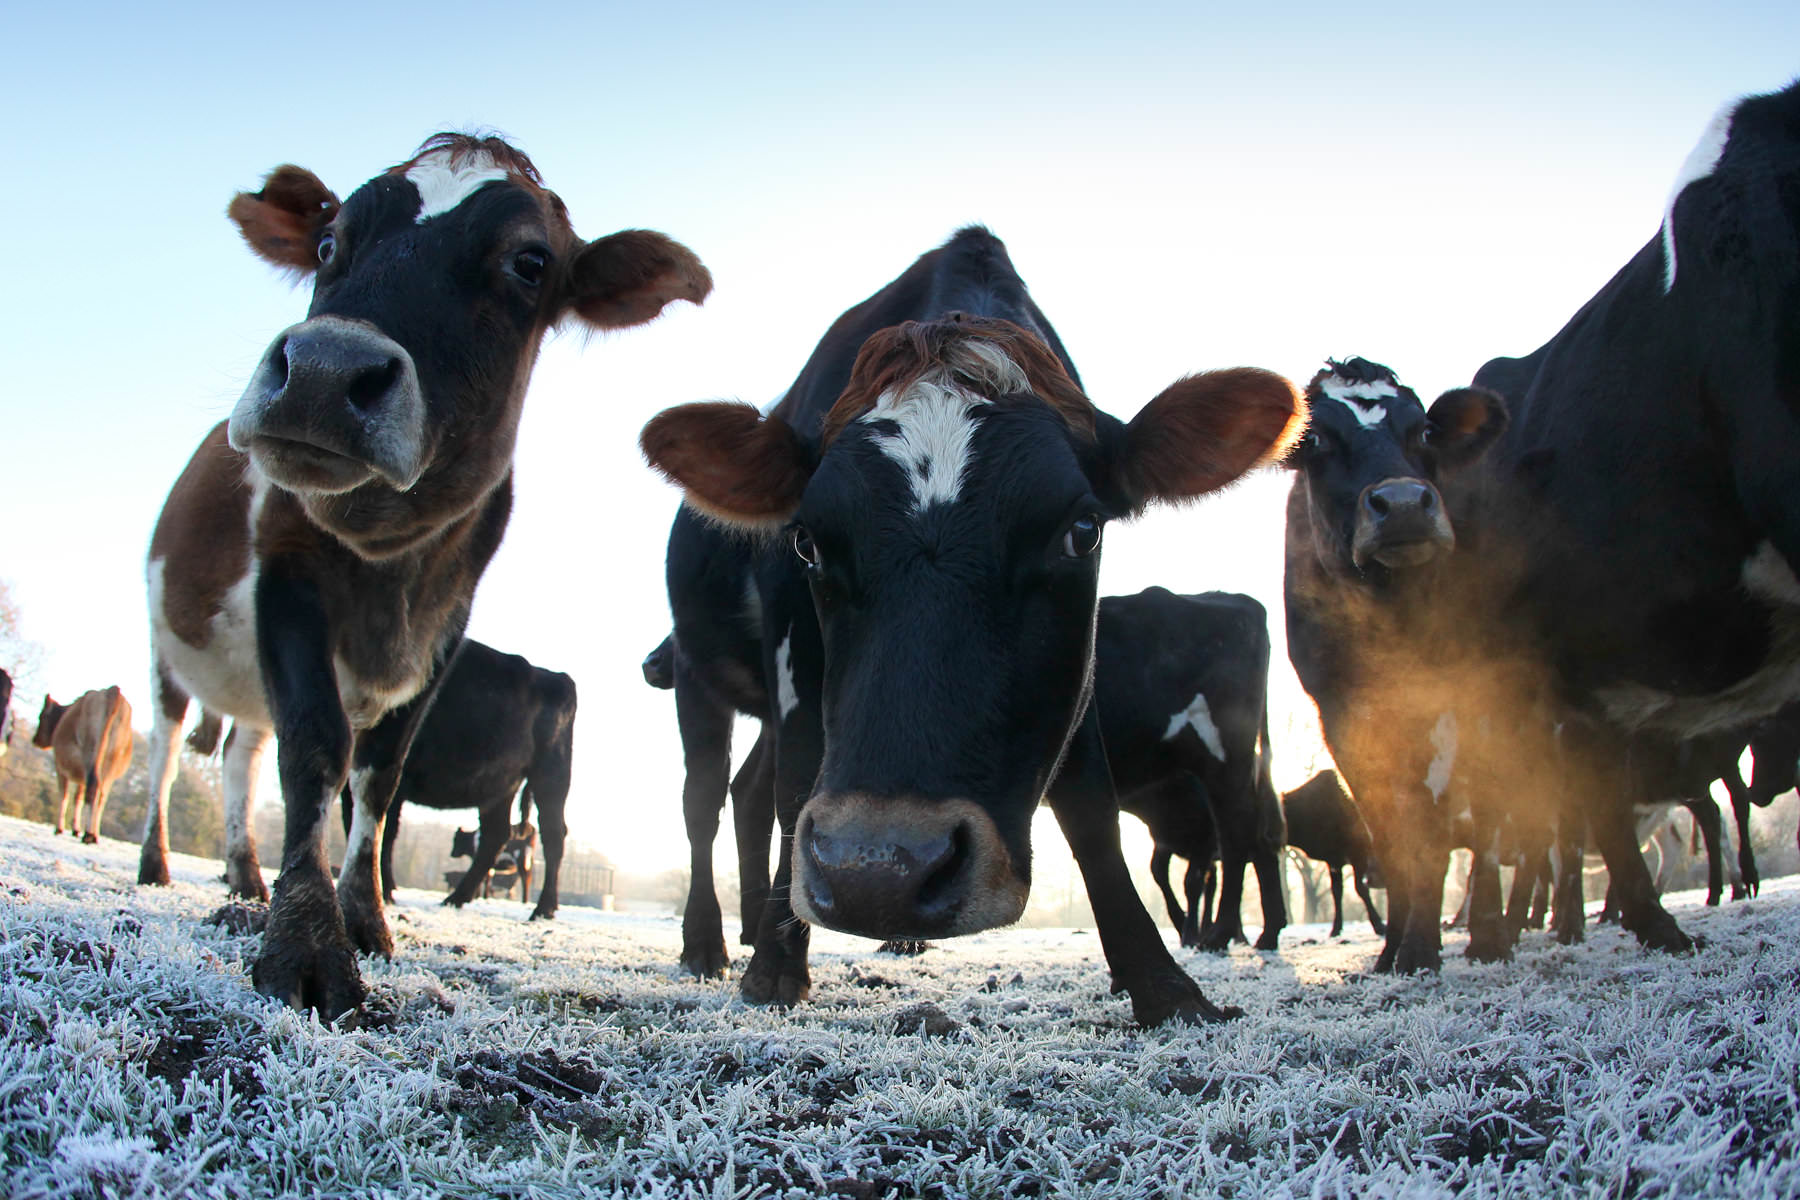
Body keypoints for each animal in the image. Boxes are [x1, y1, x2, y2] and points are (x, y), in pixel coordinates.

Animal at [33, 687, 134, 842]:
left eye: (41, 716)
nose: (35, 739)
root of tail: (112, 690)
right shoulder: (81, 777)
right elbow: (78, 798)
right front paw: (75, 830)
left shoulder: (59, 766)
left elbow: (64, 795)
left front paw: (59, 829)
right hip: (110, 765)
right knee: (101, 797)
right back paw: (94, 834)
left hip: (90, 753)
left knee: (92, 789)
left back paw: (88, 835)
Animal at [334, 639, 576, 918]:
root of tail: (557, 678)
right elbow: (355, 821)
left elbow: (384, 830)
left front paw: (384, 890)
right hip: (500, 788)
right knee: (496, 835)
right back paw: (456, 898)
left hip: (551, 777)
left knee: (553, 835)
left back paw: (543, 908)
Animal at [1281, 769, 1387, 939]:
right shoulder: (1333, 861)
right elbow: (1336, 892)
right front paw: (1336, 928)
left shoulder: (1358, 853)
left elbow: (1360, 888)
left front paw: (1379, 926)